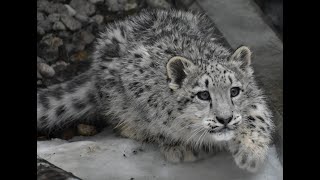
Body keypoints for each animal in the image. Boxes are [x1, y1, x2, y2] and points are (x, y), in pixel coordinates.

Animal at [36, 9, 274, 172]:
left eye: (234, 91)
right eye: (203, 94)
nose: (225, 118)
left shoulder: (255, 97)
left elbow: (257, 114)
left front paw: (251, 153)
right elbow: (155, 125)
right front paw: (182, 147)